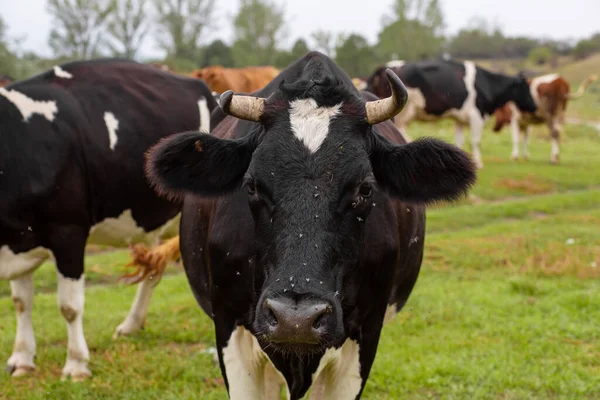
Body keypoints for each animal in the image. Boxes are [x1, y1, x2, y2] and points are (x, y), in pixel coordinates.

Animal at [0, 57, 216, 380]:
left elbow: (69, 306)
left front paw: (76, 364)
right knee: (153, 272)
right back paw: (132, 324)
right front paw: (22, 359)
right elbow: (21, 302)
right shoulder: (19, 237)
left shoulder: (68, 231)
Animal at [366, 58, 540, 168]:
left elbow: (459, 141)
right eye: (525, 88)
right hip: (402, 113)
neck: (484, 83)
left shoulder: (460, 119)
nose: (535, 106)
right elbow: (476, 141)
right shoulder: (476, 115)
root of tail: (383, 68)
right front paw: (479, 163)